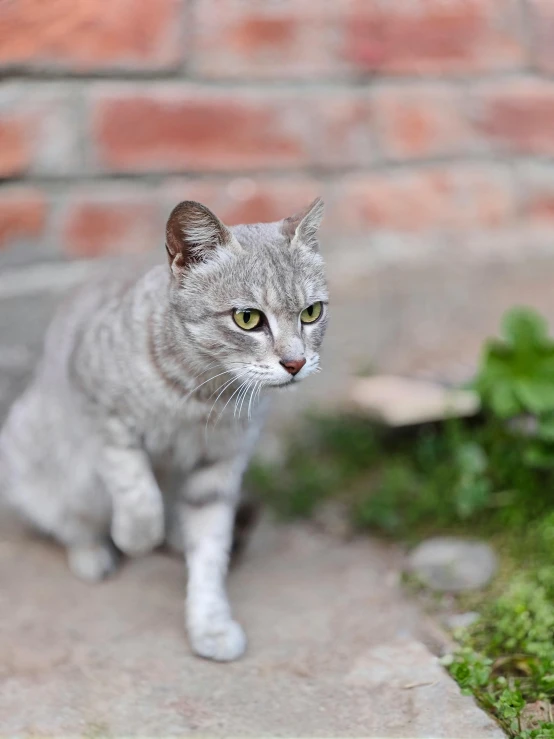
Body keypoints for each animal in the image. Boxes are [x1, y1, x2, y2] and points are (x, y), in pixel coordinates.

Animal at [0, 198, 326, 664]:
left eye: (311, 313)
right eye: (248, 318)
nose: (296, 363)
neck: (201, 396)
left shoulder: (219, 468)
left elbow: (210, 551)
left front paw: (209, 623)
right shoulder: (99, 407)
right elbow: (135, 487)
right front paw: (136, 536)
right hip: (39, 465)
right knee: (69, 521)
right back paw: (94, 551)